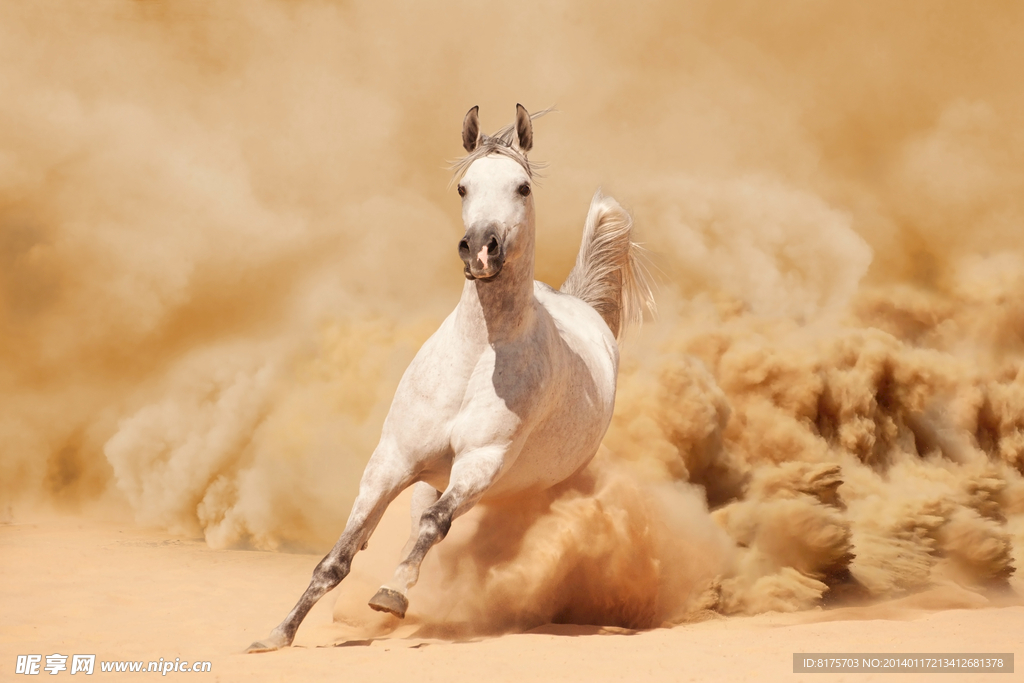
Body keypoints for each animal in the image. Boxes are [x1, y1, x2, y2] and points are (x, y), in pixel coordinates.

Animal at [247, 104, 653, 652]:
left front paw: (391, 594)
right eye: (464, 187)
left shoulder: (481, 462)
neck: (476, 359)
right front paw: (277, 635)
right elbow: (339, 556)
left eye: (523, 187)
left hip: (533, 485)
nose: (481, 248)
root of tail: (581, 305)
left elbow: (435, 525)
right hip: (429, 476)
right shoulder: (392, 461)